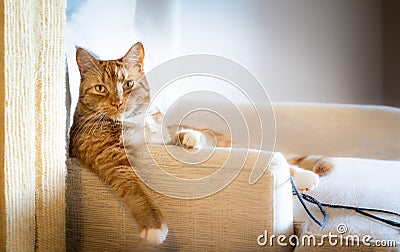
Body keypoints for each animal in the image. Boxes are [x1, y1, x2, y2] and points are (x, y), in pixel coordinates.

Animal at [68, 42, 332, 245]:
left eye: (128, 84)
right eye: (101, 88)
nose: (118, 103)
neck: (130, 122)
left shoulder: (165, 136)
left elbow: (182, 133)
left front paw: (192, 139)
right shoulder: (111, 161)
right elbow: (135, 190)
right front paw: (154, 227)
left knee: (285, 163)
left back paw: (307, 176)